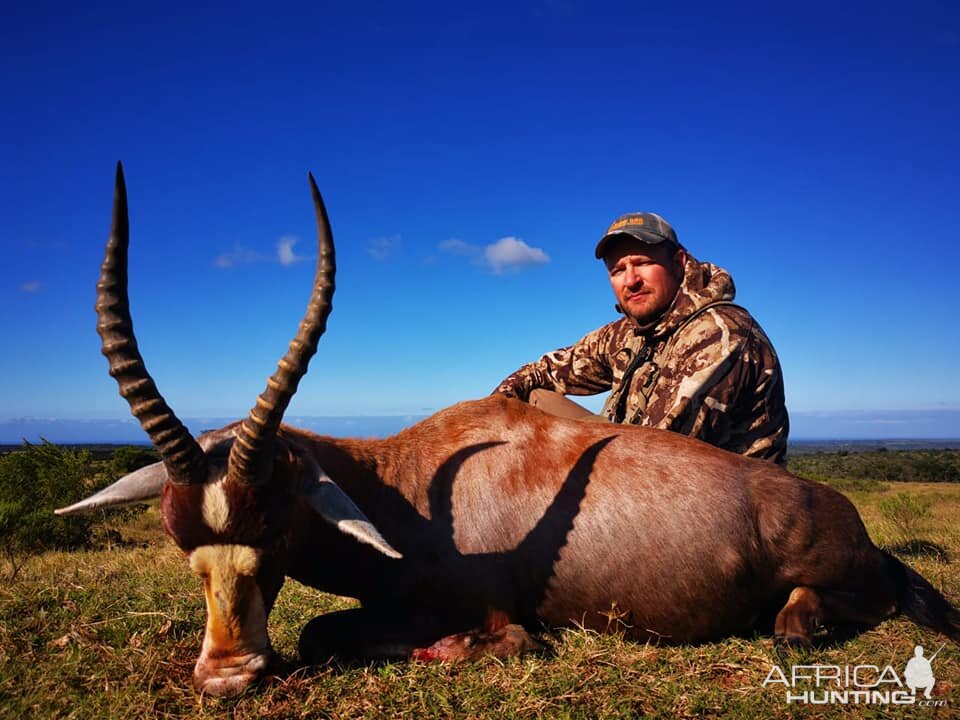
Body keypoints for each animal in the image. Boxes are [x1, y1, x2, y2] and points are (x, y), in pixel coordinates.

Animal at [58, 165, 960, 696]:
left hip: (835, 585)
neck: (405, 487)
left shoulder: (496, 617)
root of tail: (848, 518)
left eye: (274, 522)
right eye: (181, 537)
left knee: (813, 619)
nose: (226, 675)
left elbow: (345, 635)